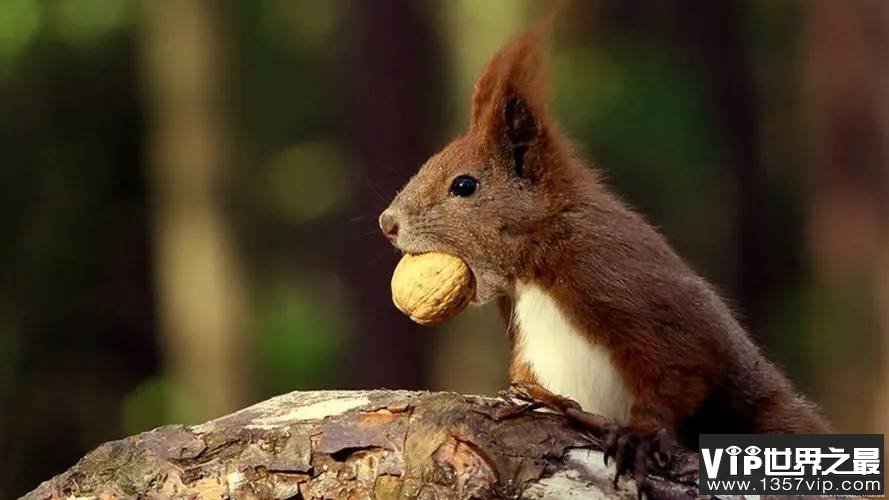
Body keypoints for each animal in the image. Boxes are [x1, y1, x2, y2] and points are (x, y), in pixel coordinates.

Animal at [374, 23, 824, 488]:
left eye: (464, 186)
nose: (387, 223)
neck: (533, 264)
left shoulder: (613, 274)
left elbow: (683, 362)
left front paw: (641, 435)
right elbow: (526, 379)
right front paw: (534, 398)